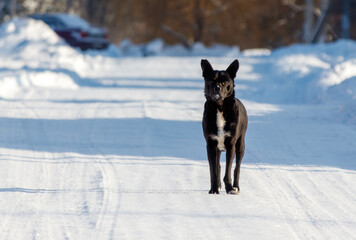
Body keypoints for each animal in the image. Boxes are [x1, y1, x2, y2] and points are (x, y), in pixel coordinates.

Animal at [200, 59, 248, 194]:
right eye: (211, 80)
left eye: (225, 81)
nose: (217, 87)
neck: (219, 107)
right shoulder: (210, 145)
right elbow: (213, 170)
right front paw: (214, 189)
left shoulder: (231, 144)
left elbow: (229, 170)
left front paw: (230, 188)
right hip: (217, 148)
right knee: (218, 166)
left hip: (240, 145)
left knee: (237, 168)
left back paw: (236, 187)